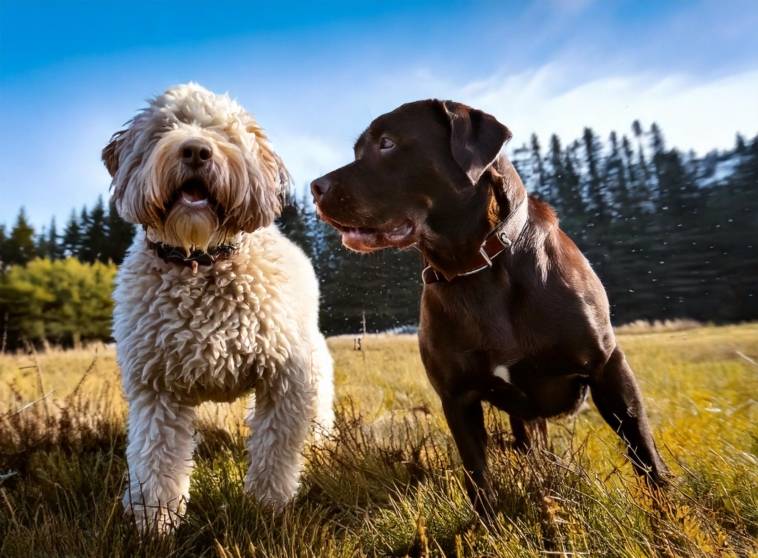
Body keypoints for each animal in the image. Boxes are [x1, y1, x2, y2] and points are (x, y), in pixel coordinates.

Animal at [101, 83, 336, 532]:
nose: (195, 150)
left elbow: (276, 452)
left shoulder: (286, 381)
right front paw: (154, 524)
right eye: (166, 127)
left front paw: (267, 508)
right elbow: (155, 461)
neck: (200, 259)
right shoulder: (156, 389)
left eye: (225, 134)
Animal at [312, 99, 668, 512]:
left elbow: (642, 449)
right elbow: (477, 475)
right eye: (357, 151)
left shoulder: (607, 366)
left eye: (387, 143)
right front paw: (489, 522)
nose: (315, 187)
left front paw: (666, 514)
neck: (477, 267)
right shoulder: (457, 397)